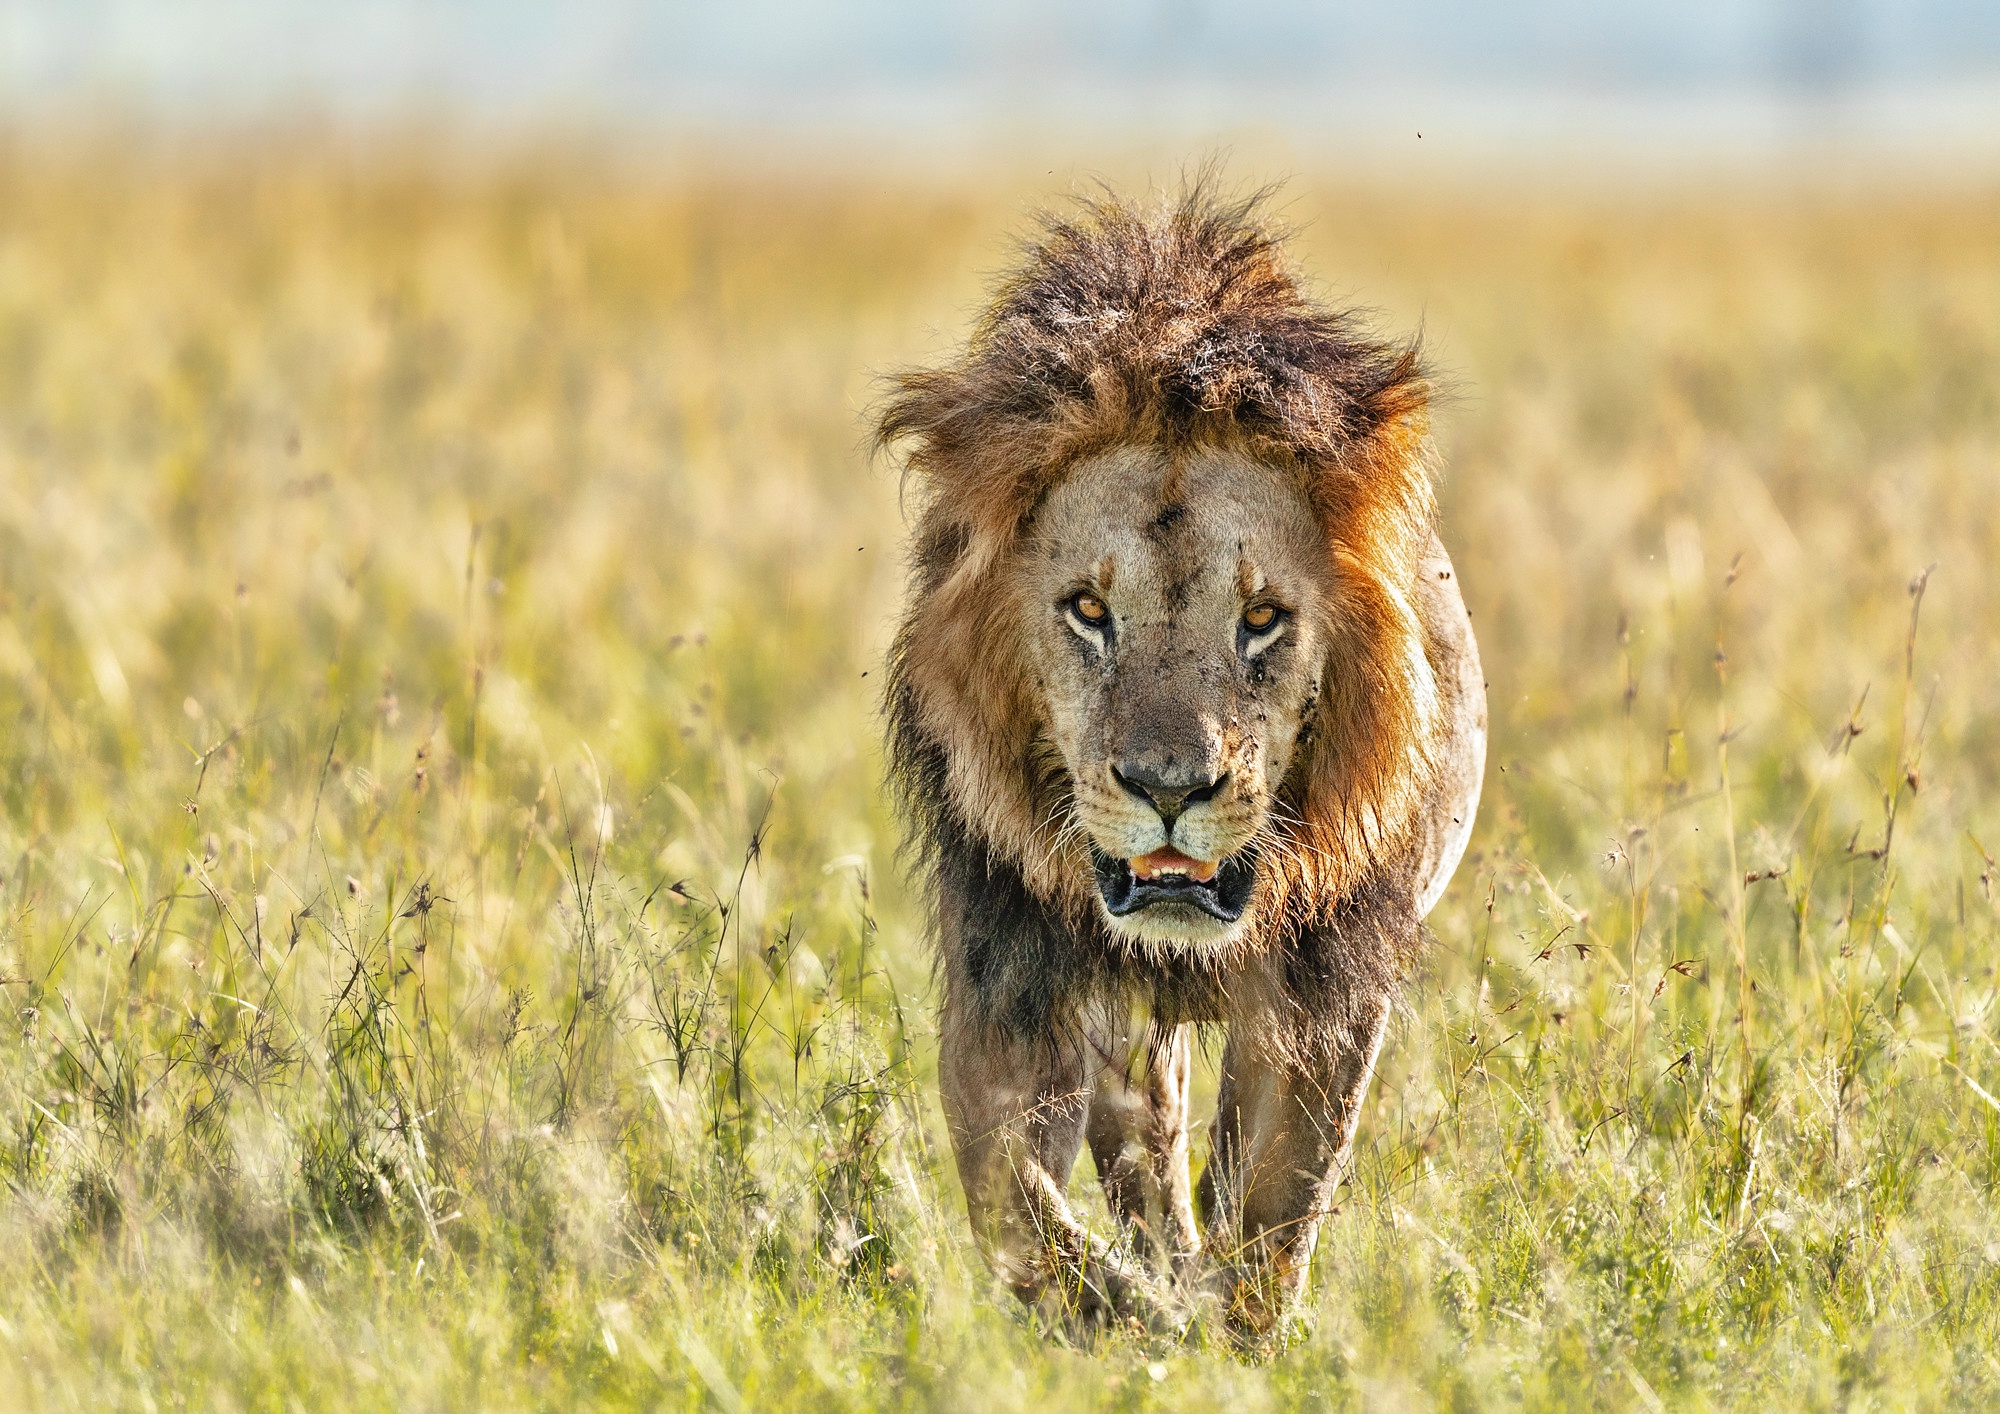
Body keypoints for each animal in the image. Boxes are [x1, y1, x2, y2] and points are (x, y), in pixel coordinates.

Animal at [880, 183, 1488, 1336]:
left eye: (1260, 619)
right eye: (1087, 611)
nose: (1169, 789)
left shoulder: (1324, 994)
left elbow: (1277, 1206)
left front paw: (1227, 1333)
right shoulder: (1006, 975)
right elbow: (1018, 1206)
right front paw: (1143, 1320)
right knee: (1146, 1147)